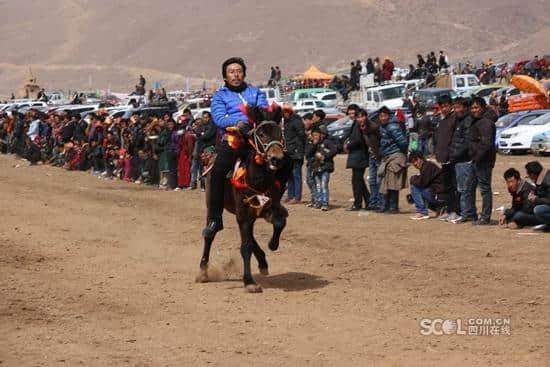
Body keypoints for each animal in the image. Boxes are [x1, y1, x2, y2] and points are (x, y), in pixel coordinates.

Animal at [199, 105, 294, 294]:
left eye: (279, 133)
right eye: (261, 134)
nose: (277, 159)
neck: (257, 178)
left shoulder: (267, 208)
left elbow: (279, 222)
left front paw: (272, 244)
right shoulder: (243, 215)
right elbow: (245, 247)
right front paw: (249, 281)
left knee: (250, 236)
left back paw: (263, 262)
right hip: (213, 207)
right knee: (211, 233)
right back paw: (203, 271)